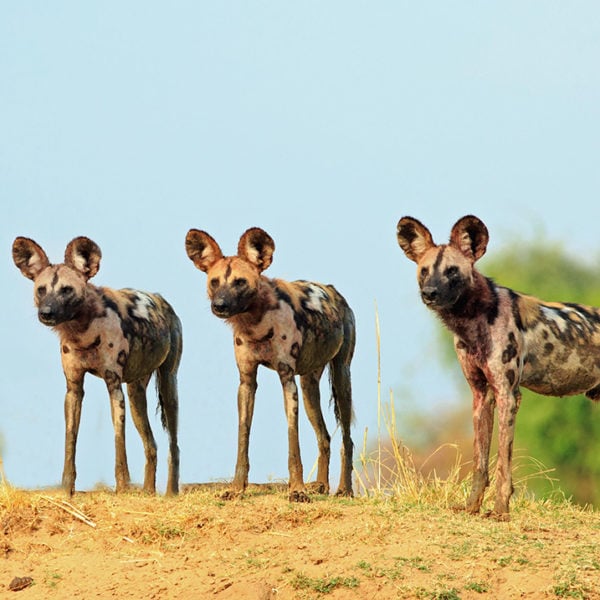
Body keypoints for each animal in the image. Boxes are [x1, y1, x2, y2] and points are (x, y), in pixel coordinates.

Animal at [11, 237, 180, 494]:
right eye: (41, 290)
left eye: (66, 290)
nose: (46, 313)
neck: (82, 334)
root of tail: (161, 299)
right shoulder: (74, 389)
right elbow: (70, 439)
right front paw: (67, 488)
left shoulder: (114, 386)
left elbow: (119, 441)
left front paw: (122, 488)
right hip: (136, 395)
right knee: (151, 445)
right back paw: (148, 493)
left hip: (168, 386)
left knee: (174, 445)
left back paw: (171, 493)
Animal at [186, 227, 356, 504]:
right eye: (214, 282)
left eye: (240, 282)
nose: (219, 305)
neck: (256, 325)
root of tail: (333, 291)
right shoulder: (247, 382)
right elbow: (242, 439)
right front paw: (236, 489)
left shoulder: (287, 380)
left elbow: (293, 445)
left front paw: (296, 490)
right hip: (309, 388)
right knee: (325, 437)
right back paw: (321, 485)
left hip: (341, 377)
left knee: (347, 439)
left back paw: (345, 489)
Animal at [398, 216, 600, 520]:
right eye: (424, 271)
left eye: (452, 271)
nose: (429, 293)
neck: (473, 320)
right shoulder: (482, 395)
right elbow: (480, 462)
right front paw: (472, 507)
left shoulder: (508, 394)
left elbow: (504, 463)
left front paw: (501, 510)